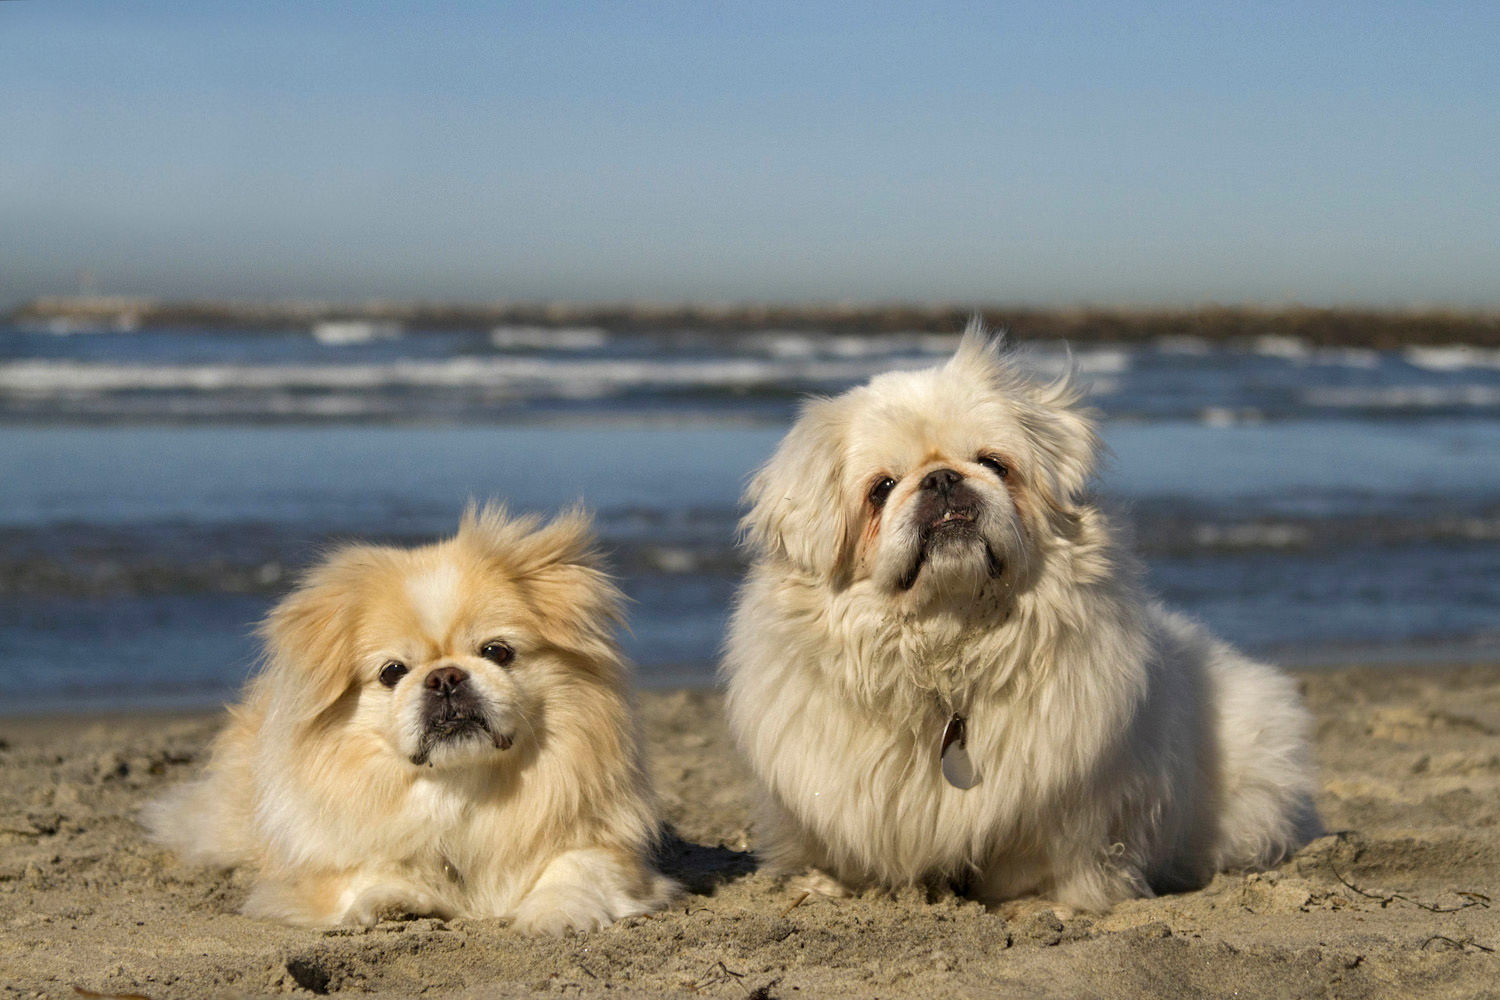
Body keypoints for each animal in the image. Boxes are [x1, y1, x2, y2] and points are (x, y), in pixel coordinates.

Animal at [146, 503, 675, 935]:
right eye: (393, 672)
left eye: (496, 652)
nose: (444, 677)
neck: (460, 792)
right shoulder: (332, 857)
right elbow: (366, 873)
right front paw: (388, 902)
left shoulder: (602, 847)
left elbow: (574, 870)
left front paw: (559, 913)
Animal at [720, 328, 1320, 917]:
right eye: (882, 489)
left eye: (993, 464)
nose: (941, 479)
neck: (948, 648)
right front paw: (826, 886)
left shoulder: (1072, 806)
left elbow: (1038, 865)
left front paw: (1040, 904)